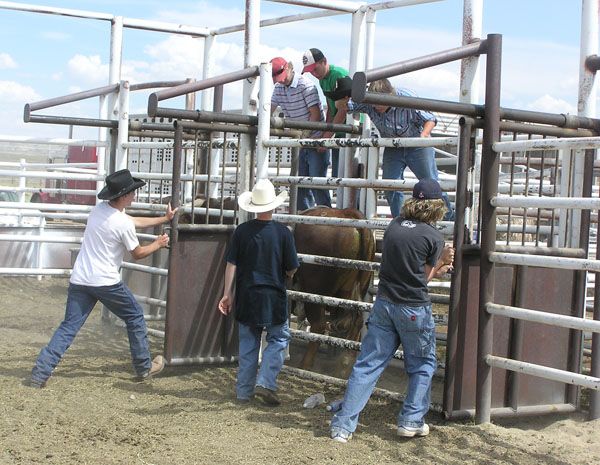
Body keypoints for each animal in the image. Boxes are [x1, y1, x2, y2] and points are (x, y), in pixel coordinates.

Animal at [292, 206, 372, 376]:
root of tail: (345, 213)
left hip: (315, 290)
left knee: (319, 325)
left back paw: (305, 365)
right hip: (353, 290)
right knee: (356, 320)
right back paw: (344, 365)